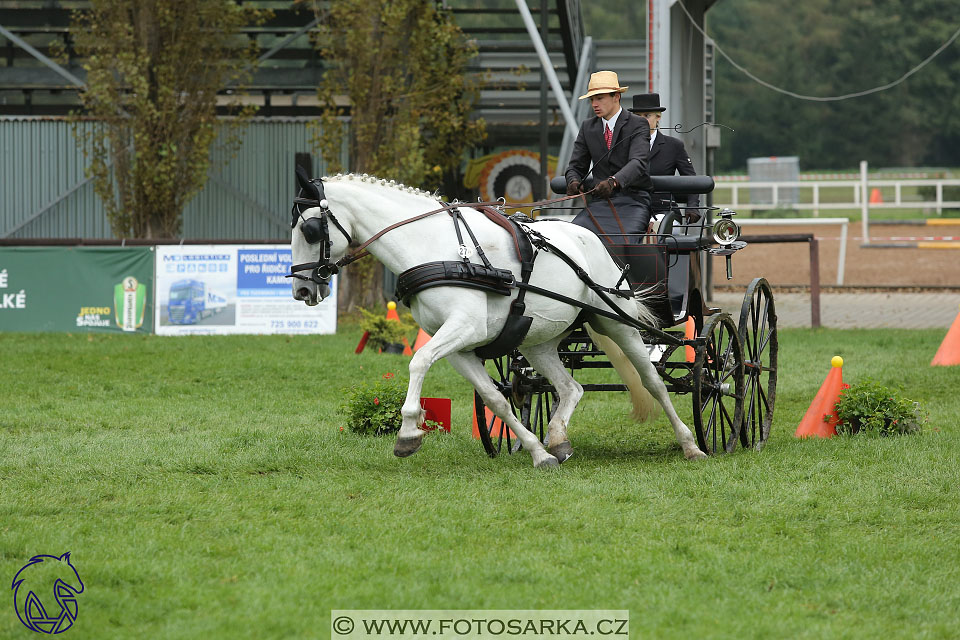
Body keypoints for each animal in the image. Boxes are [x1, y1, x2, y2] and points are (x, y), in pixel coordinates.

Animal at [288, 172, 708, 468]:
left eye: (309, 229)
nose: (302, 290)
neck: (433, 248)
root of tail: (590, 236)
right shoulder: (459, 346)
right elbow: (496, 399)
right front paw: (539, 453)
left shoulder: (464, 328)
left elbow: (417, 361)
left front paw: (408, 431)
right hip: (539, 341)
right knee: (570, 388)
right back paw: (558, 440)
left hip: (617, 323)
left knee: (654, 382)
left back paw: (691, 444)